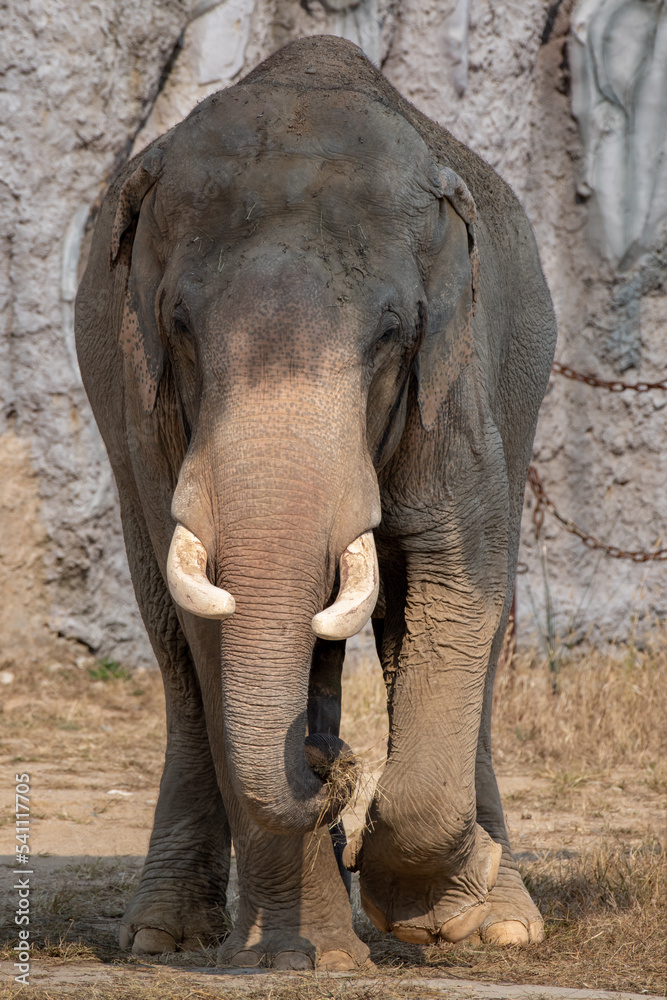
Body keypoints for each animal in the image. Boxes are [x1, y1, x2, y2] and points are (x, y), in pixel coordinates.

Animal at [75, 35, 556, 969]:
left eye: (391, 336)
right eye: (179, 327)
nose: (331, 762)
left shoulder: (458, 383)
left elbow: (455, 574)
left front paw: (428, 910)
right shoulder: (145, 407)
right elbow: (211, 618)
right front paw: (305, 959)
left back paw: (501, 919)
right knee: (174, 648)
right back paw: (161, 933)